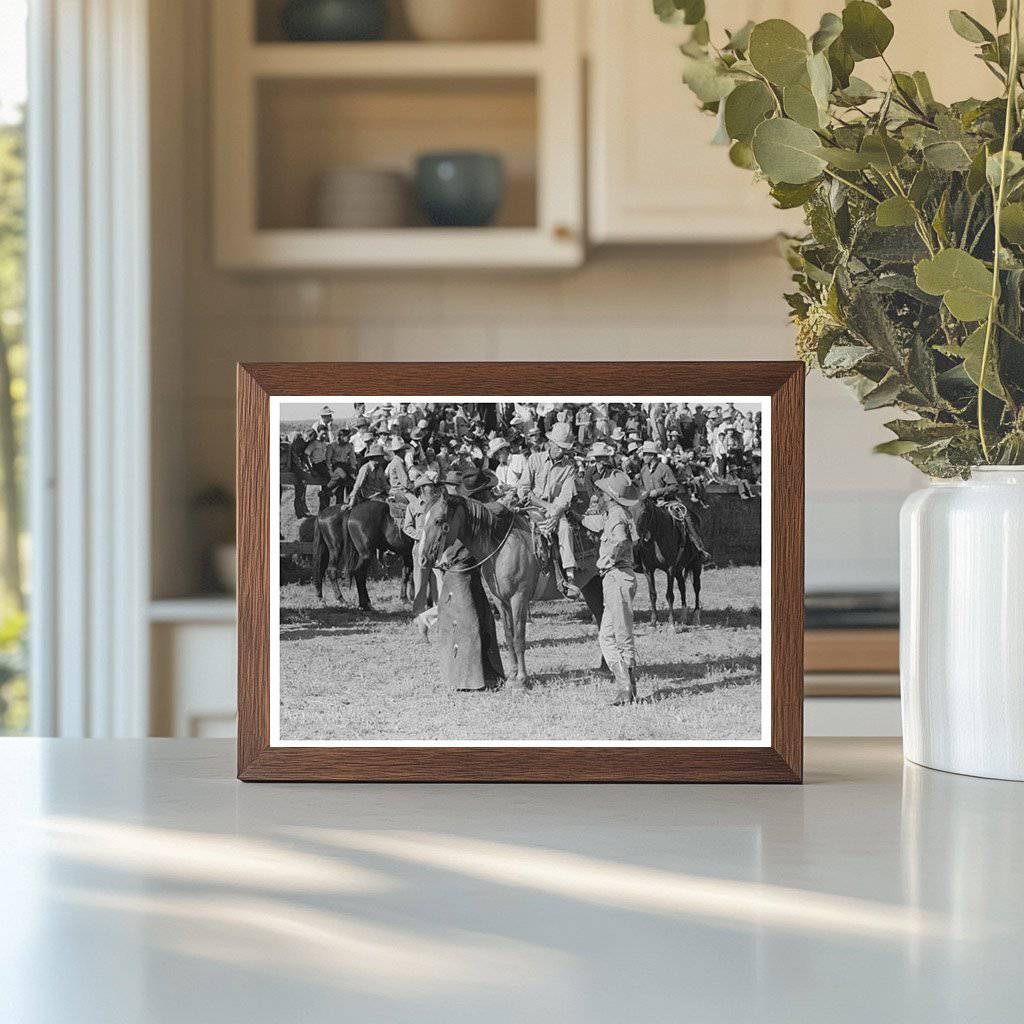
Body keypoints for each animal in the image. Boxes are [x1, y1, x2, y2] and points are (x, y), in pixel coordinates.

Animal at [417, 491, 544, 684]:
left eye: (438, 520)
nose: (422, 559)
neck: (502, 549)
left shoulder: (519, 597)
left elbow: (519, 637)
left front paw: (522, 679)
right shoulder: (501, 600)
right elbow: (509, 635)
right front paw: (512, 676)